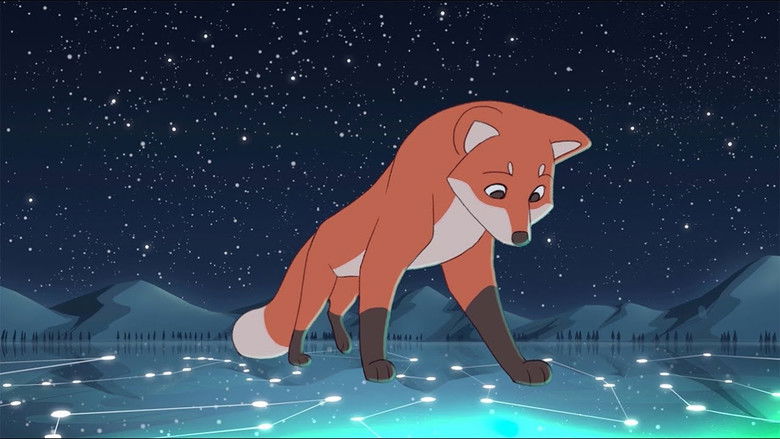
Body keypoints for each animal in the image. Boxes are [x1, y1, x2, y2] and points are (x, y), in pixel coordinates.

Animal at [232, 101, 590, 385]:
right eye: (497, 191)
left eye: (536, 196)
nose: (520, 238)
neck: (455, 205)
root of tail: (317, 231)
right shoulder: (386, 256)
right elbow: (376, 316)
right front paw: (375, 366)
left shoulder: (469, 260)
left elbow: (493, 324)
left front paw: (518, 369)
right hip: (320, 286)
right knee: (301, 322)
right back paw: (297, 358)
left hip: (351, 284)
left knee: (335, 310)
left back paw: (344, 345)